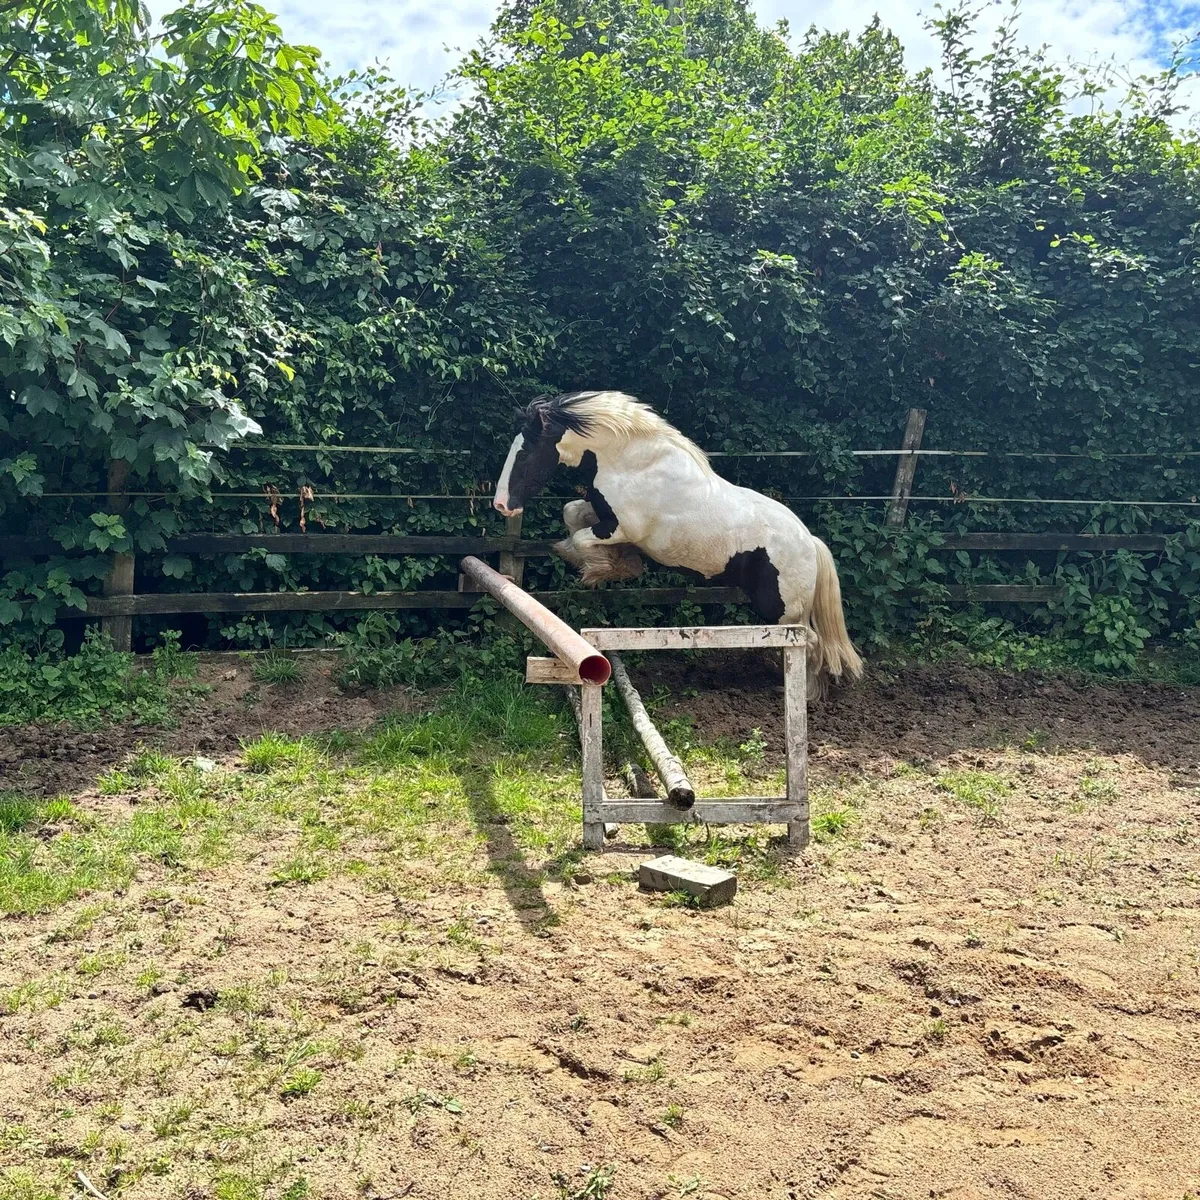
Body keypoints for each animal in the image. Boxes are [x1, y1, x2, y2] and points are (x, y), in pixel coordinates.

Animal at [492, 390, 863, 694]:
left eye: (523, 454)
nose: (501, 505)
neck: (633, 464)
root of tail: (809, 542)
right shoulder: (602, 514)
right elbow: (571, 514)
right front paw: (607, 563)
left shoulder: (621, 527)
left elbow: (584, 539)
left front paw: (607, 569)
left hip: (784, 610)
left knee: (811, 644)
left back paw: (802, 693)